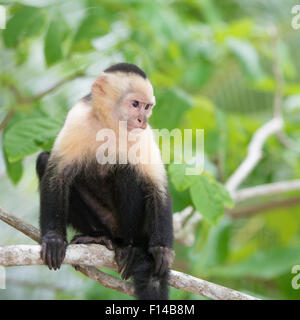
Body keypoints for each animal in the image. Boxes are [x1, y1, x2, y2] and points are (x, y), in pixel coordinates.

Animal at [36, 62, 175, 300]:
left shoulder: (144, 135)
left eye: (147, 107)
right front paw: (53, 239)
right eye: (135, 104)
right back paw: (99, 238)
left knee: (127, 171)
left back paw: (131, 248)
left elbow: (156, 186)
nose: (142, 120)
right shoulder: (77, 118)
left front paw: (162, 250)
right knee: (44, 161)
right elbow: (57, 174)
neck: (110, 126)